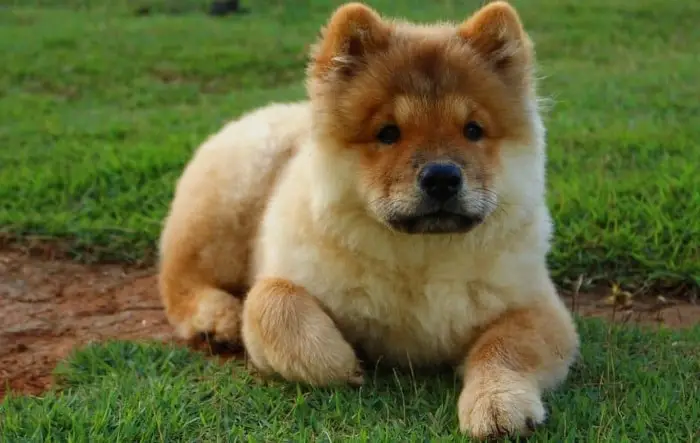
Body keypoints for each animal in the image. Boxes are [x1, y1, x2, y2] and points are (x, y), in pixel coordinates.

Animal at [160, 0, 580, 440]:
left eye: (473, 130)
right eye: (388, 133)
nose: (442, 177)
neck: (420, 259)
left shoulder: (537, 308)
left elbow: (502, 349)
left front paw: (498, 406)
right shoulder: (286, 280)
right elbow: (271, 301)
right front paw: (343, 364)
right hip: (228, 204)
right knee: (180, 279)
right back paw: (216, 319)